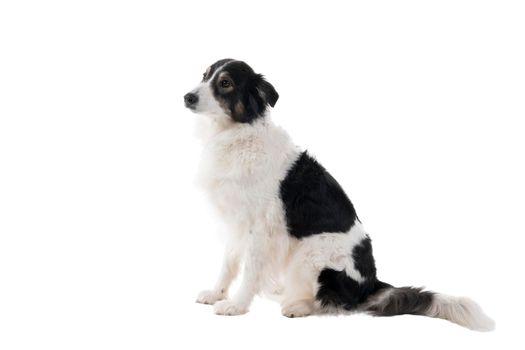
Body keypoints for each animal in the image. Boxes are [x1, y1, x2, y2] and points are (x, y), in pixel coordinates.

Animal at [182, 58, 494, 330]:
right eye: (204, 76)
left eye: (225, 83)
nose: (187, 97)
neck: (236, 134)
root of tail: (372, 283)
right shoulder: (235, 221)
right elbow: (229, 264)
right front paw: (217, 293)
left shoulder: (261, 227)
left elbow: (250, 270)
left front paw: (237, 305)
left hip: (310, 255)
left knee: (331, 302)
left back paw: (296, 305)